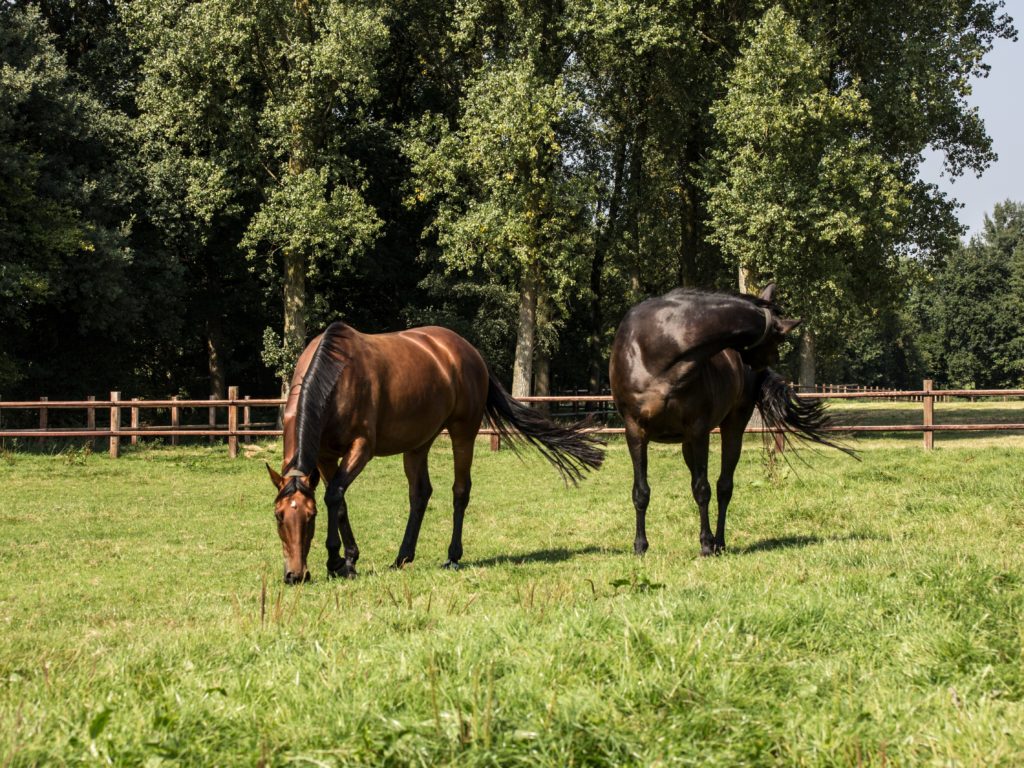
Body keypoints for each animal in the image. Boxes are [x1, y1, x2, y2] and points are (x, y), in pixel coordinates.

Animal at [268, 319, 602, 581]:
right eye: (278, 516)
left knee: (460, 490)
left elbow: (334, 496)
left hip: (463, 432)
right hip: (418, 443)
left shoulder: (361, 447)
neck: (336, 378)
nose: (294, 575)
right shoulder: (325, 455)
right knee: (420, 494)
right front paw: (341, 561)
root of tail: (469, 351)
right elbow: (337, 501)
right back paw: (403, 557)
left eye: (310, 518)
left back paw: (452, 556)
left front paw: (342, 561)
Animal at [606, 286, 847, 557]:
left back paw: (718, 542)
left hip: (732, 427)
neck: (659, 347)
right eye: (780, 338)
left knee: (724, 486)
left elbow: (702, 489)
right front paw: (640, 546)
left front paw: (705, 544)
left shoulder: (698, 431)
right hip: (686, 444)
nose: (769, 362)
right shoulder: (635, 431)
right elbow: (641, 491)